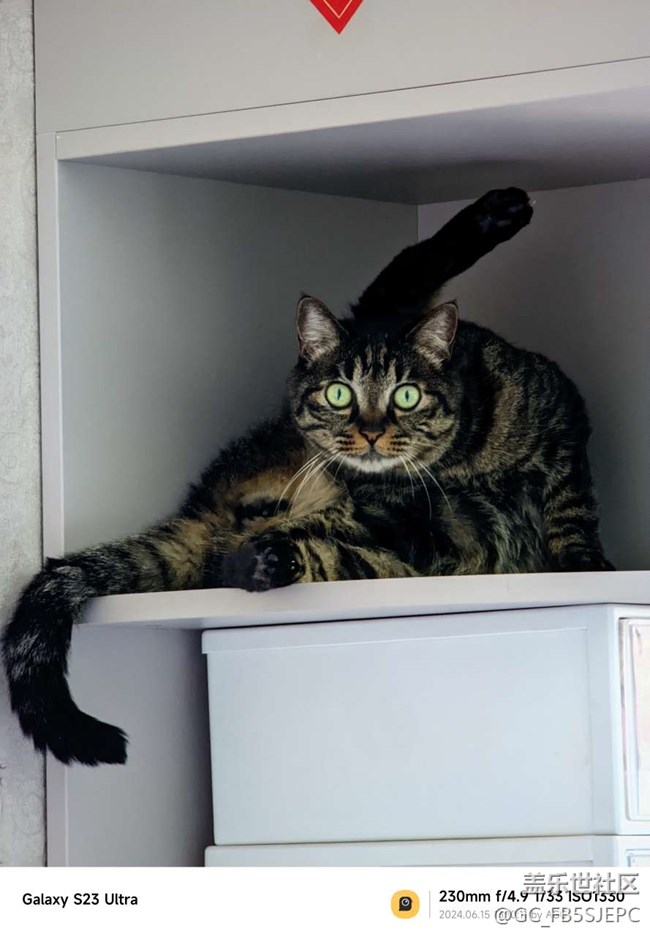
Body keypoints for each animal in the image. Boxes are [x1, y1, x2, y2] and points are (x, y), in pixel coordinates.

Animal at [2, 188, 612, 768]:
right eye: (339, 394)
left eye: (406, 395)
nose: (370, 432)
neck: (459, 462)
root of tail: (208, 503)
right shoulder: (401, 525)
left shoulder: (562, 428)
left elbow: (571, 508)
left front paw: (585, 565)